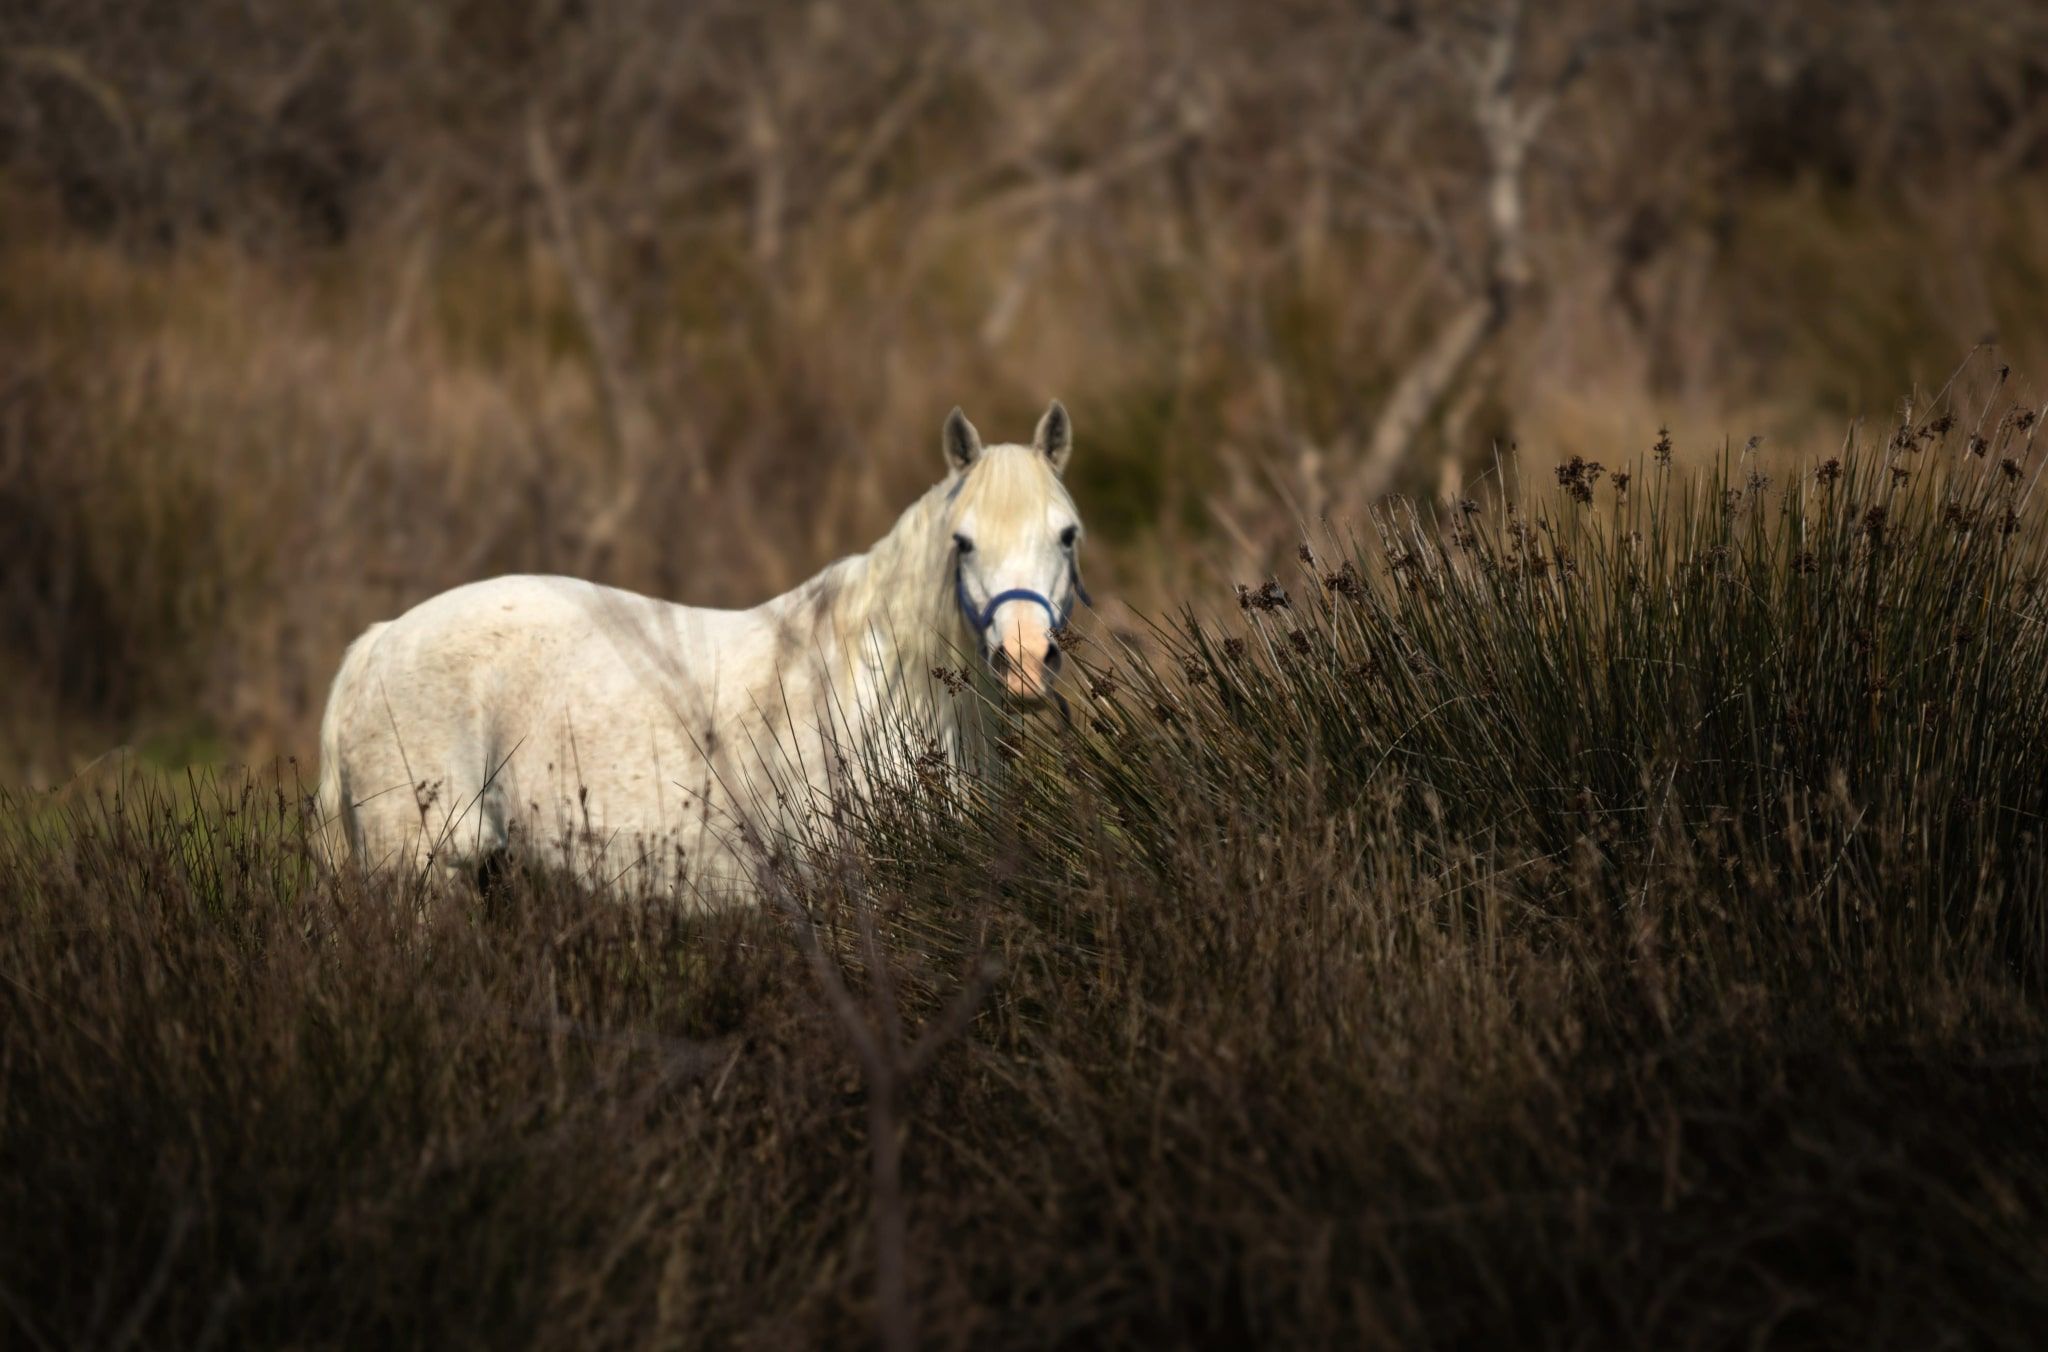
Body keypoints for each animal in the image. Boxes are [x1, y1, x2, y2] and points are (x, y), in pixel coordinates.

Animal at [315, 400, 1089, 899]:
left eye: (1067, 534)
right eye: (964, 542)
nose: (1024, 661)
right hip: (420, 876)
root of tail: (378, 643)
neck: (881, 685)